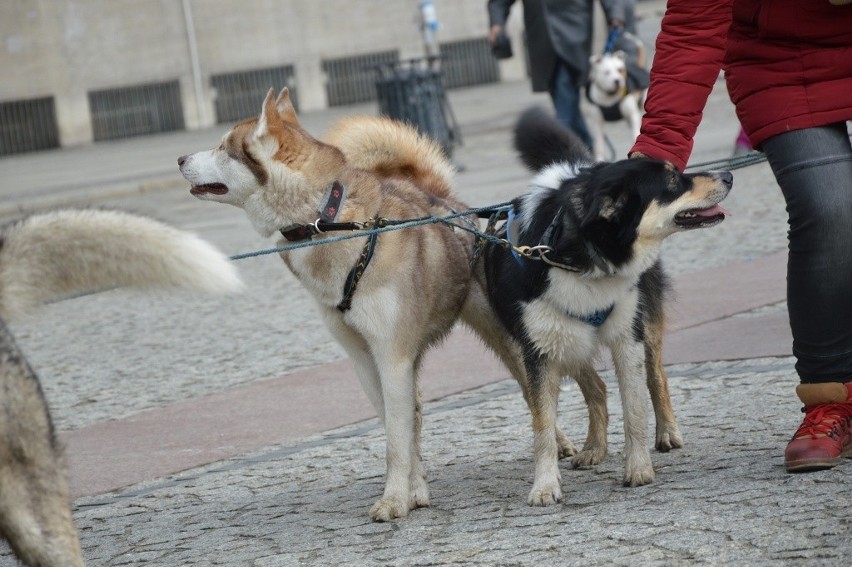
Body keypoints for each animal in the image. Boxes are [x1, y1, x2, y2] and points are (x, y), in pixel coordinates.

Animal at [482, 107, 728, 506]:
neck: (579, 256)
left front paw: (638, 469)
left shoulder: (627, 337)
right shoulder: (539, 353)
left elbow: (635, 408)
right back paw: (593, 449)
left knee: (655, 375)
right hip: (568, 342)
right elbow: (542, 426)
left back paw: (667, 432)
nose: (729, 174)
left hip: (644, 321)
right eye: (672, 181)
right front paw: (545, 486)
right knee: (596, 388)